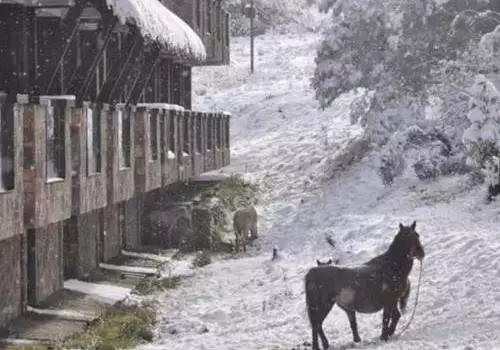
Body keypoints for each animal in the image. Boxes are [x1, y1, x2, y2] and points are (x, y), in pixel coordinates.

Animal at [302, 221, 424, 350]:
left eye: (417, 235)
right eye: (406, 237)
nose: (421, 253)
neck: (391, 267)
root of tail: (311, 273)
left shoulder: (392, 301)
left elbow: (395, 316)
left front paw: (389, 333)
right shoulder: (389, 302)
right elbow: (386, 319)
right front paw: (384, 337)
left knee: (317, 325)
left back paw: (325, 344)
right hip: (323, 305)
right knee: (316, 324)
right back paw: (319, 346)